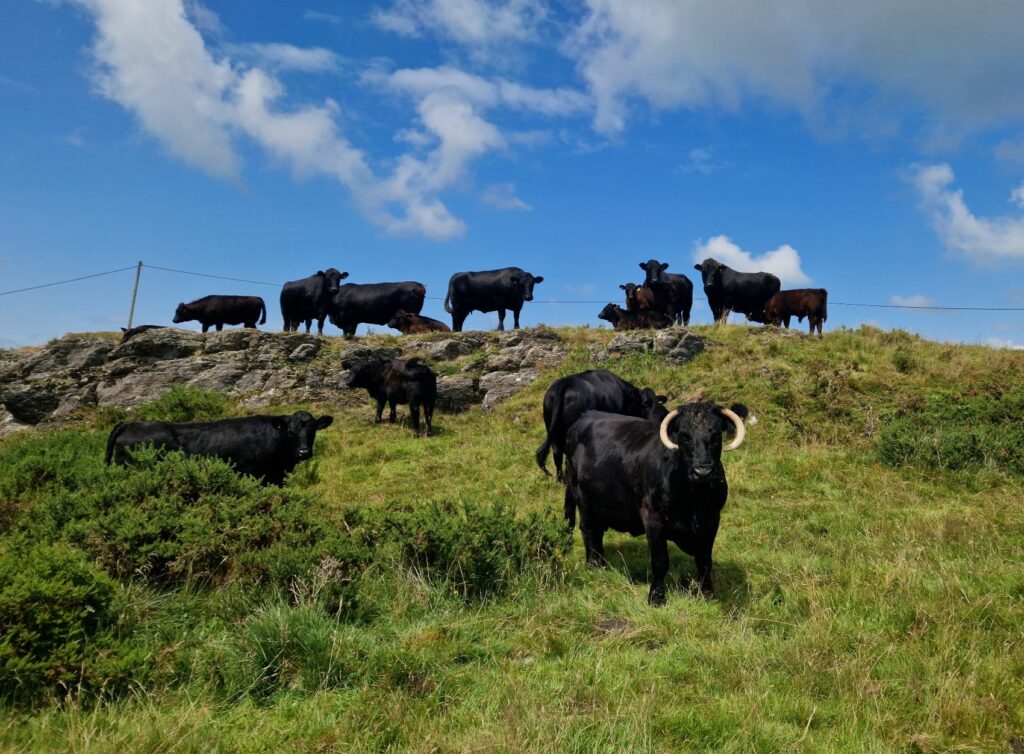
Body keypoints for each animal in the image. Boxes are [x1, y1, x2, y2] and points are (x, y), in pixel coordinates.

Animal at [532, 370, 667, 483]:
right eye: (645, 404)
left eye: (657, 401)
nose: (661, 415)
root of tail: (564, 383)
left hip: (554, 433)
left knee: (557, 455)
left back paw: (561, 481)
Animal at [565, 401, 749, 606]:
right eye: (684, 436)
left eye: (716, 435)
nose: (702, 471)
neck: (694, 500)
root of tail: (586, 416)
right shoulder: (653, 519)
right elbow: (660, 561)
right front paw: (656, 597)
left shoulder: (712, 520)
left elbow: (704, 559)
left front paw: (707, 593)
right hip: (581, 498)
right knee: (589, 531)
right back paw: (595, 566)